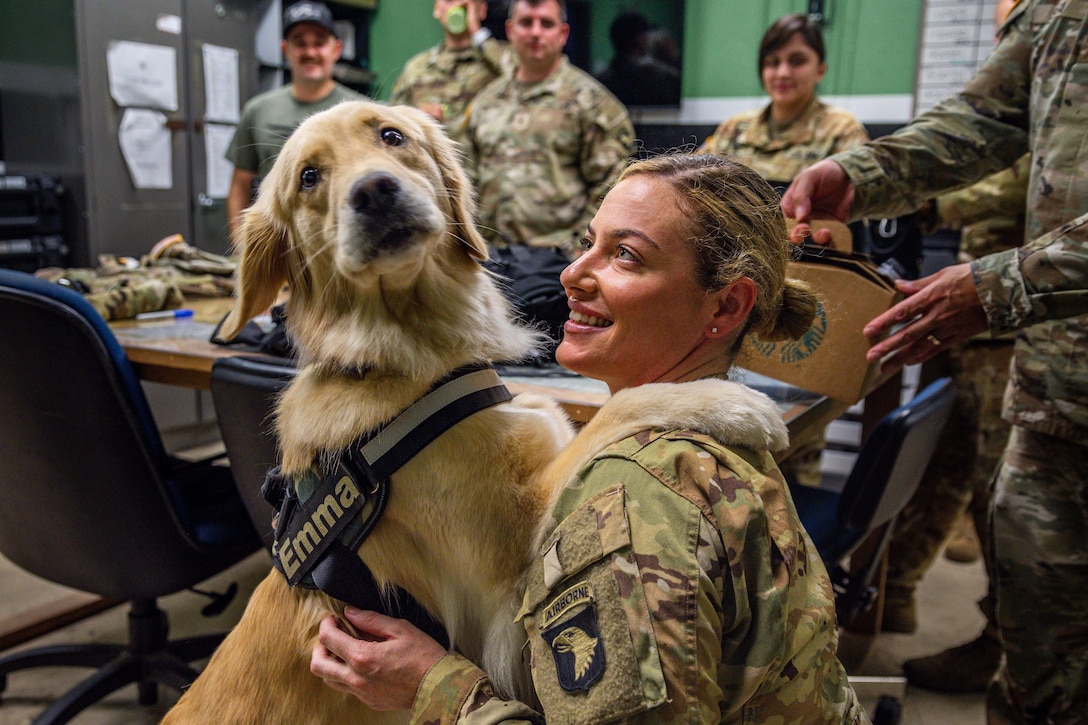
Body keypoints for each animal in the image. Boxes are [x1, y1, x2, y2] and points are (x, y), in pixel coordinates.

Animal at [161, 101, 787, 722]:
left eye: (392, 136)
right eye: (309, 177)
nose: (375, 191)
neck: (412, 358)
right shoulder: (510, 567)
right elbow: (618, 408)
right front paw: (731, 401)